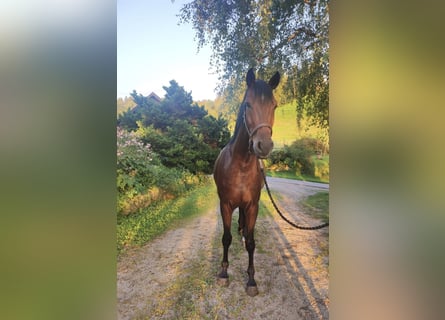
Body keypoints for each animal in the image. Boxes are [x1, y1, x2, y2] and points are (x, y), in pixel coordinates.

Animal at [212, 69, 280, 296]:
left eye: (274, 105)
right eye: (248, 104)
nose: (264, 145)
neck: (240, 164)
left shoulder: (252, 205)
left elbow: (251, 242)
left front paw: (251, 280)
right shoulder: (225, 204)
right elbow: (225, 238)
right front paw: (224, 273)